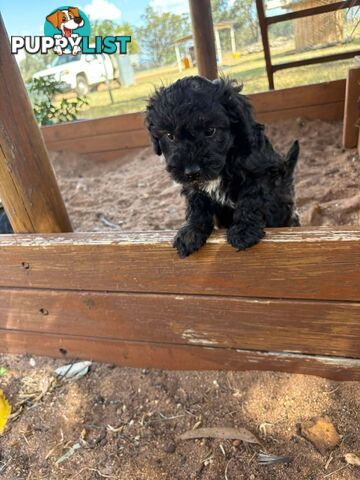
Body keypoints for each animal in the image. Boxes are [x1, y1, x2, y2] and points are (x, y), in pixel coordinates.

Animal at [145, 75, 300, 256]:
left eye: (210, 131)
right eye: (170, 136)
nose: (191, 171)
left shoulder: (261, 172)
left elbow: (250, 199)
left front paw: (244, 231)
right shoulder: (193, 185)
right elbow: (197, 204)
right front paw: (191, 232)